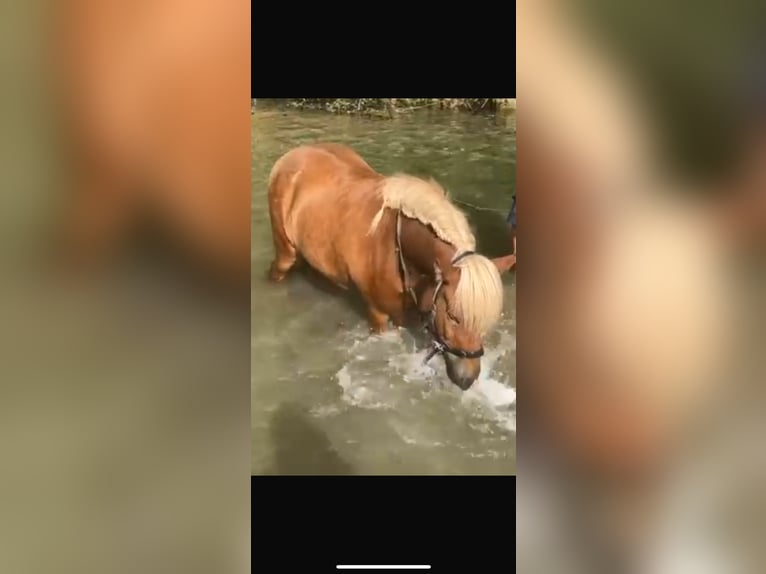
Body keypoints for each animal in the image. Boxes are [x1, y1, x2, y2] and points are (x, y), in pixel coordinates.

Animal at [267, 143, 516, 390]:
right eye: (454, 317)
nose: (467, 379)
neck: (396, 244)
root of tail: (294, 153)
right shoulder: (379, 313)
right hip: (284, 253)